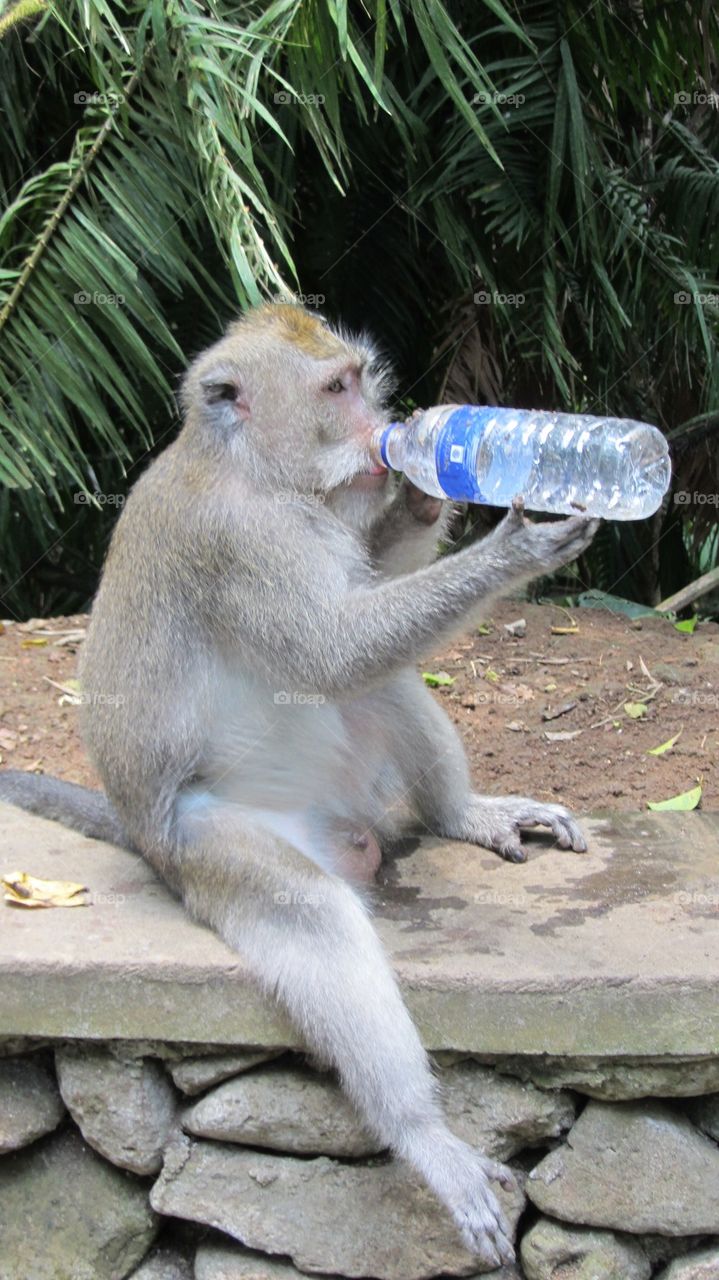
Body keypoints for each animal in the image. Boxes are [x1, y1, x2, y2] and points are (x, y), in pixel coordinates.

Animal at [0, 303, 597, 1268]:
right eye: (335, 389)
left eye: (360, 381)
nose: (381, 427)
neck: (254, 471)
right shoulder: (246, 542)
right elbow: (331, 648)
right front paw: (519, 539)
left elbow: (363, 616)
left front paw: (424, 492)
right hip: (208, 846)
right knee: (312, 910)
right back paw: (421, 1133)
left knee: (385, 684)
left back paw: (460, 814)